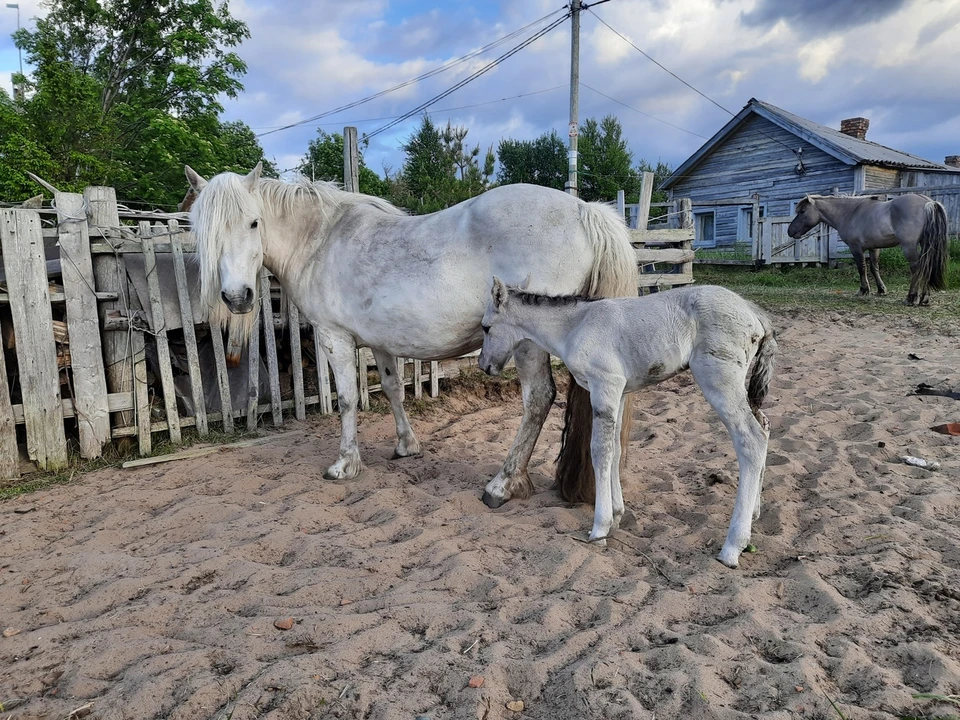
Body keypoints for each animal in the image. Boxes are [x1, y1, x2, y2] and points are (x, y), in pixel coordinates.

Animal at [186, 165, 636, 506]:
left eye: (253, 222)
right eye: (203, 231)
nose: (237, 297)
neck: (320, 240)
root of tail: (585, 211)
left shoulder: (334, 338)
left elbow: (346, 399)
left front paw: (345, 464)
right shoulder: (381, 343)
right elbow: (392, 390)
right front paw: (406, 446)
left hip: (527, 345)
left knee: (538, 400)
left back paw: (503, 484)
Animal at [476, 282, 776, 568]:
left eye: (486, 327)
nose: (483, 366)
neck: (575, 326)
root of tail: (754, 312)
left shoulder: (604, 386)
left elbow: (600, 452)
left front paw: (600, 529)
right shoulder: (618, 392)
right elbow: (616, 449)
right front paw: (617, 515)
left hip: (718, 380)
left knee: (751, 439)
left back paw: (733, 546)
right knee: (764, 426)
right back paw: (755, 514)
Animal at [788, 191, 944, 304]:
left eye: (802, 211)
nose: (790, 231)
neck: (850, 212)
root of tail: (927, 202)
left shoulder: (856, 248)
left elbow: (862, 268)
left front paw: (863, 290)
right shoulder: (874, 248)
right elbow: (874, 268)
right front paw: (881, 290)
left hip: (909, 247)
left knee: (917, 268)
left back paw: (911, 298)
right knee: (926, 266)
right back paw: (924, 298)